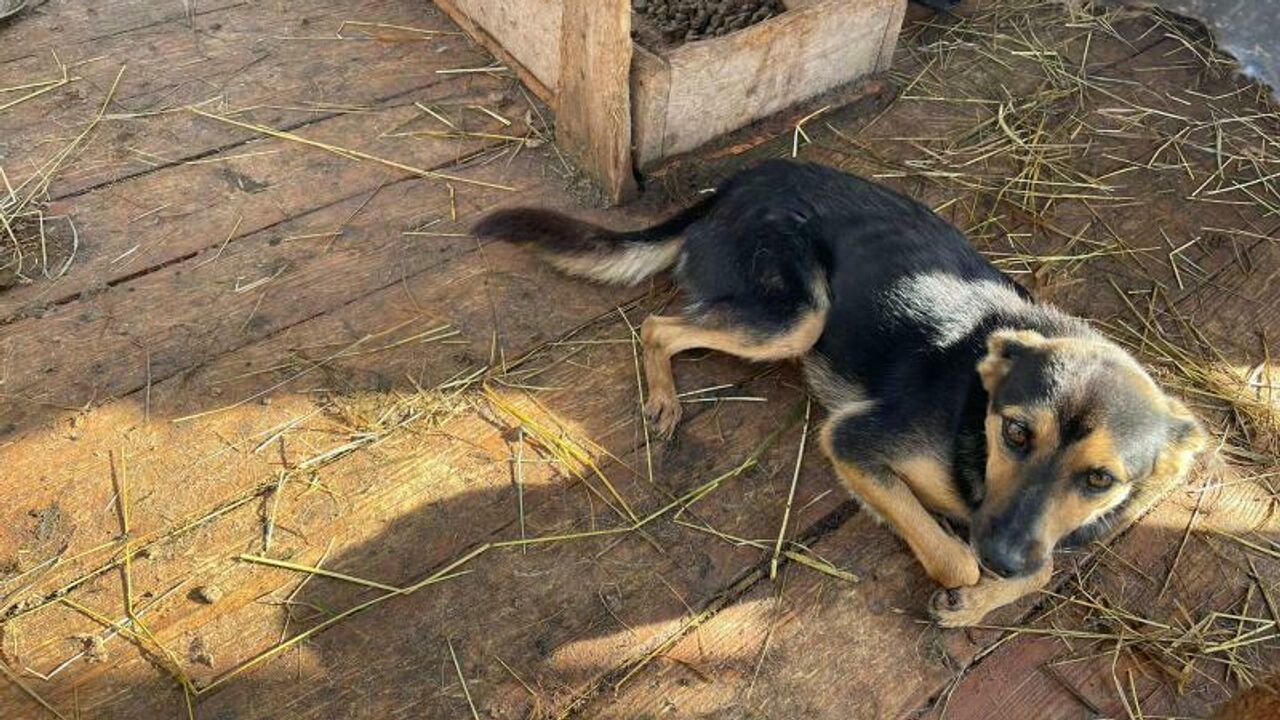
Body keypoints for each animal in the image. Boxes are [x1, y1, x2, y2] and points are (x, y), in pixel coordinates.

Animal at [476, 159, 1203, 625]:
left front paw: (982, 598)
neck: (973, 421)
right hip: (797, 316)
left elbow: (1040, 566)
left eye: (1100, 479)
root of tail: (733, 184)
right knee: (658, 326)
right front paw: (965, 581)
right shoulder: (853, 440)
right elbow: (953, 557)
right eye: (1017, 432)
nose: (1001, 555)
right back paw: (663, 398)